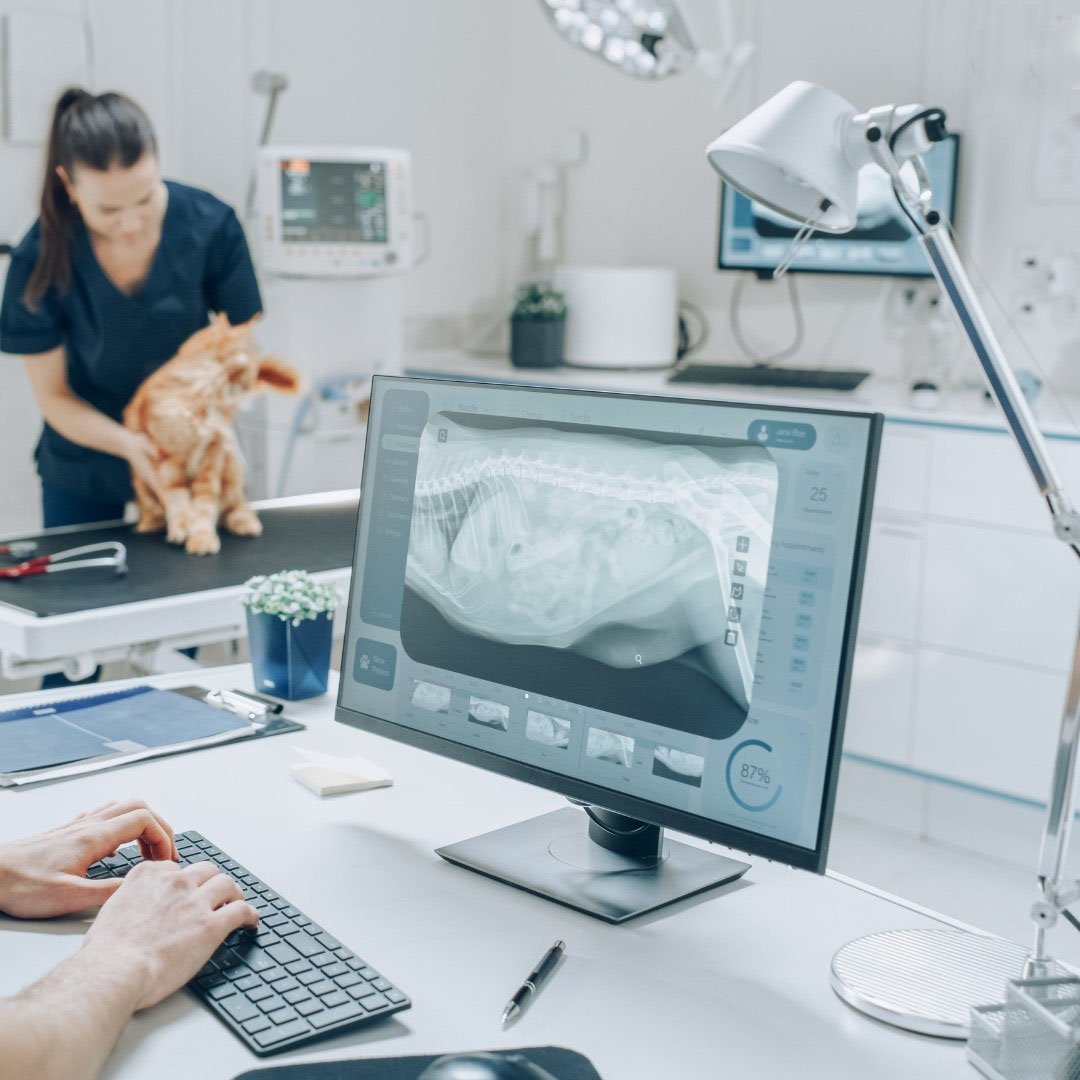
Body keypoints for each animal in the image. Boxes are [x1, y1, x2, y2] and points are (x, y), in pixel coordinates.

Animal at [124, 311, 302, 548]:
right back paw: (149, 524)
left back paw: (246, 523)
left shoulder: (212, 458)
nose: (251, 381)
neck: (205, 399)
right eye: (252, 359)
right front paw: (183, 527)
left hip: (232, 473)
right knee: (150, 509)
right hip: (142, 485)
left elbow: (205, 506)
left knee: (236, 507)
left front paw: (202, 539)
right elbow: (178, 501)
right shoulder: (168, 461)